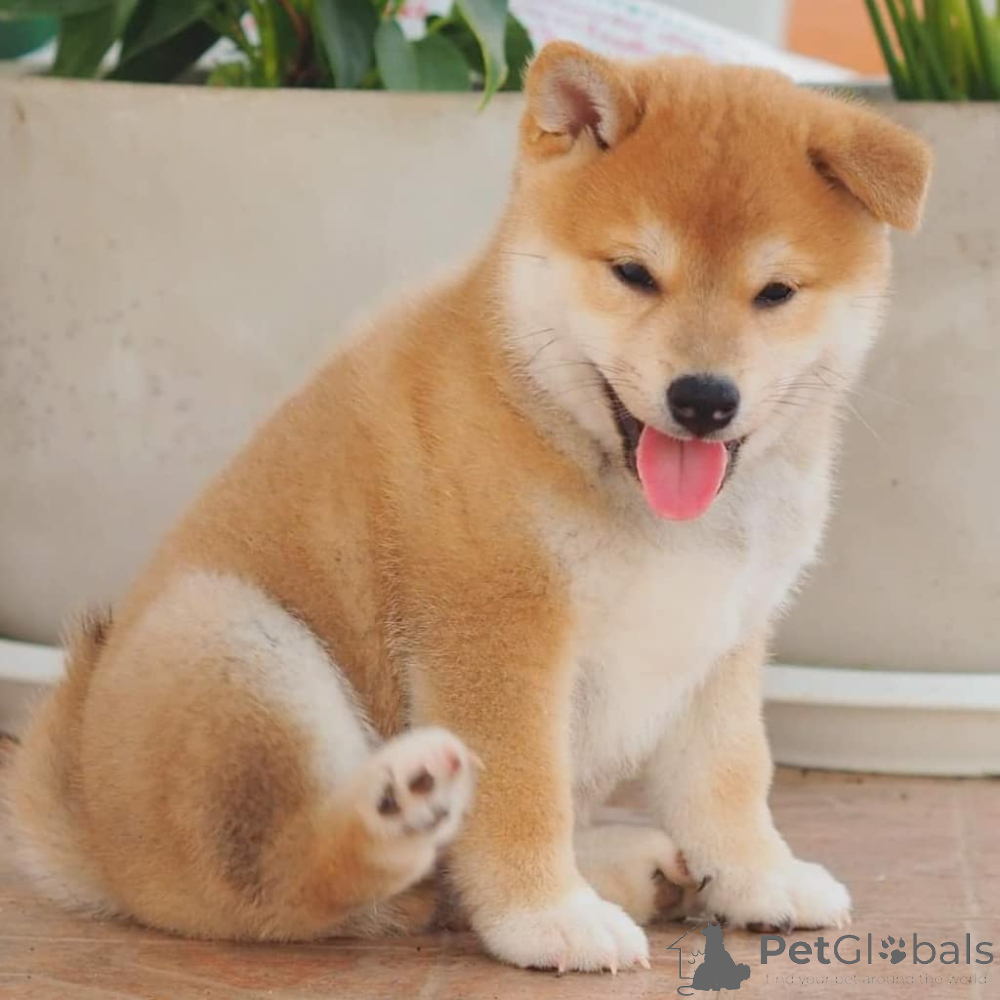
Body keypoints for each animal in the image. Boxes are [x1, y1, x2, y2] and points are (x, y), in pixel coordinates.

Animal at [7, 43, 931, 973]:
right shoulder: (498, 628)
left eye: (775, 292)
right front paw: (546, 914)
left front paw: (756, 876)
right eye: (634, 274)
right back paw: (401, 812)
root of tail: (91, 835)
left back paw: (631, 867)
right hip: (229, 636)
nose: (703, 398)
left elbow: (730, 775)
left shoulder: (723, 636)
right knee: (302, 884)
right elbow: (524, 791)